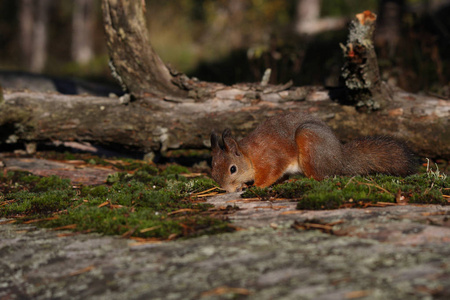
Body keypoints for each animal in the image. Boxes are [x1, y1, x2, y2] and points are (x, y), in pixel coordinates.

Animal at [209, 112, 416, 192]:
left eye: (233, 169)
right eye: (212, 169)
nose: (225, 189)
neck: (249, 156)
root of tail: (339, 158)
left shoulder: (270, 158)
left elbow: (270, 174)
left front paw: (255, 186)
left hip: (309, 143)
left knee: (319, 178)